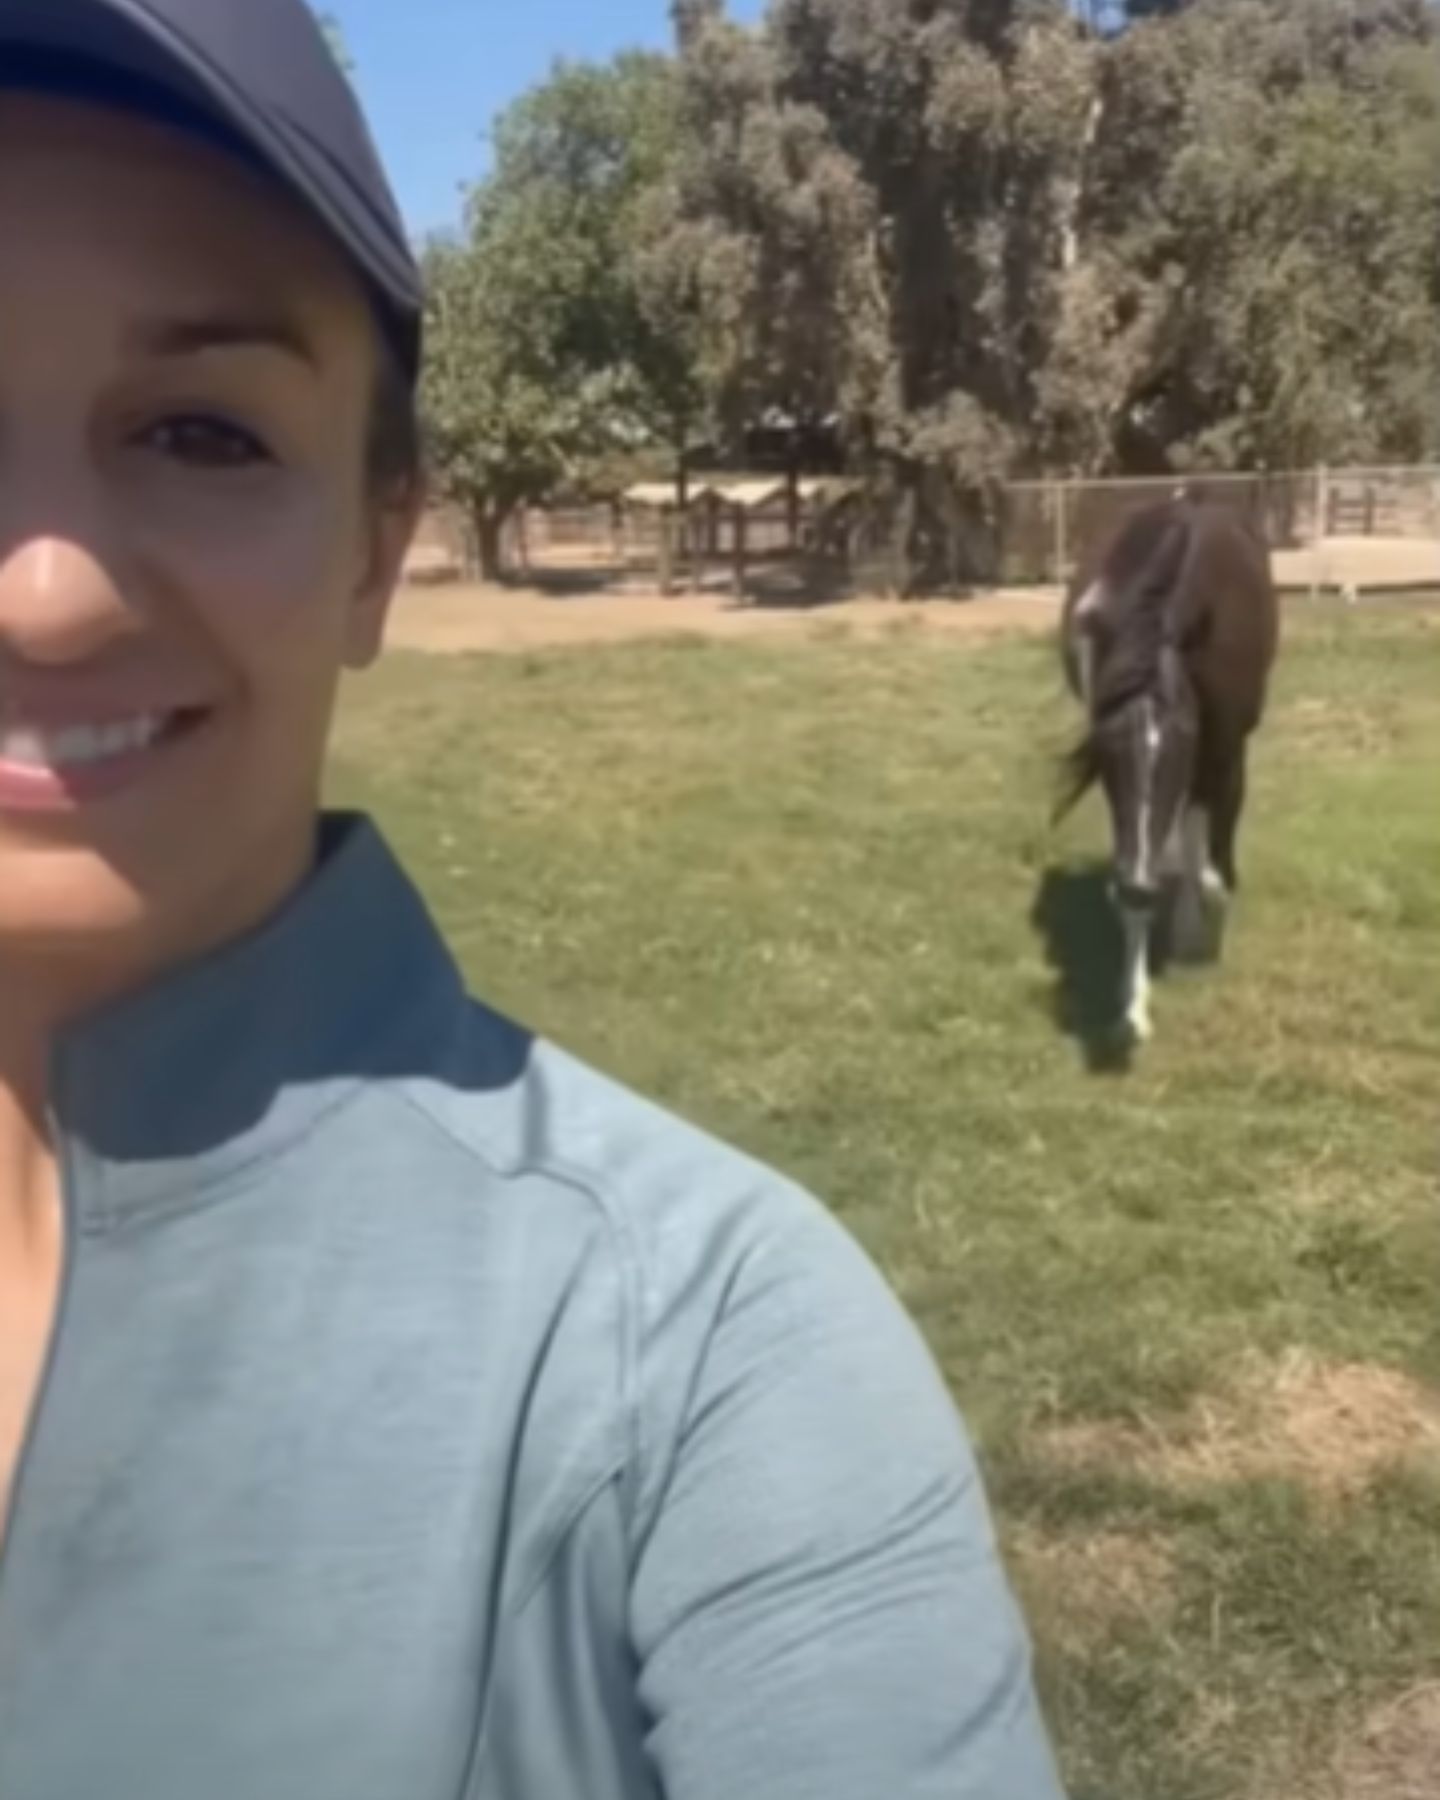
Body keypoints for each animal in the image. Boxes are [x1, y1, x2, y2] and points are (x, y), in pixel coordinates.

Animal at [1051, 500, 1274, 1051]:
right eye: (1107, 752)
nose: (1137, 888)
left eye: (1182, 743)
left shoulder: (1222, 750)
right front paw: (1132, 1010)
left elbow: (1210, 863)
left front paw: (1199, 929)